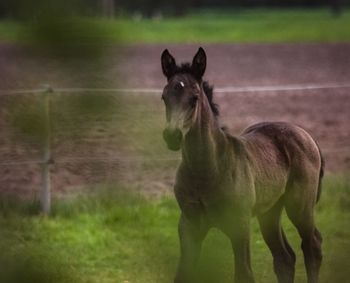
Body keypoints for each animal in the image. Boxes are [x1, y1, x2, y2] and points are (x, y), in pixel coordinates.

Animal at [160, 47, 324, 283]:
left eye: (194, 98)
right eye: (164, 97)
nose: (172, 136)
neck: (208, 169)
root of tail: (305, 133)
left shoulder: (239, 225)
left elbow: (244, 273)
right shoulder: (189, 226)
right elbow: (183, 273)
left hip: (300, 206)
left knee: (312, 246)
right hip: (270, 211)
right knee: (285, 257)